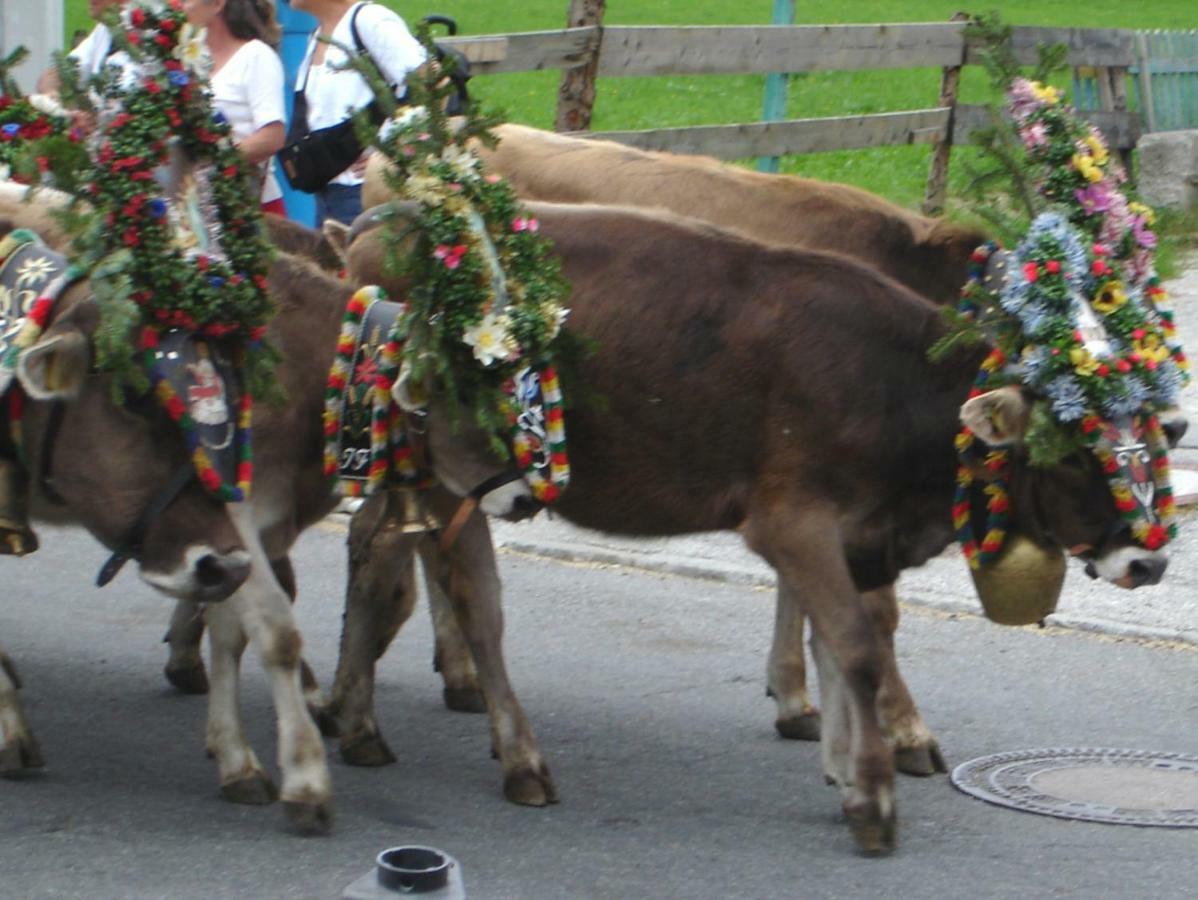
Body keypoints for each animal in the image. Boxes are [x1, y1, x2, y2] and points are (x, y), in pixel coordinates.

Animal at [342, 200, 1164, 853]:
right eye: (1073, 449)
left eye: (1158, 431)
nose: (1150, 563)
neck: (895, 386)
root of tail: (379, 228)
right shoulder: (792, 521)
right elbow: (858, 649)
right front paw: (874, 797)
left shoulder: (861, 540)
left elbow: (844, 644)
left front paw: (845, 768)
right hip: (442, 467)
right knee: (458, 593)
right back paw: (473, 749)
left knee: (385, 554)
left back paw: (360, 712)